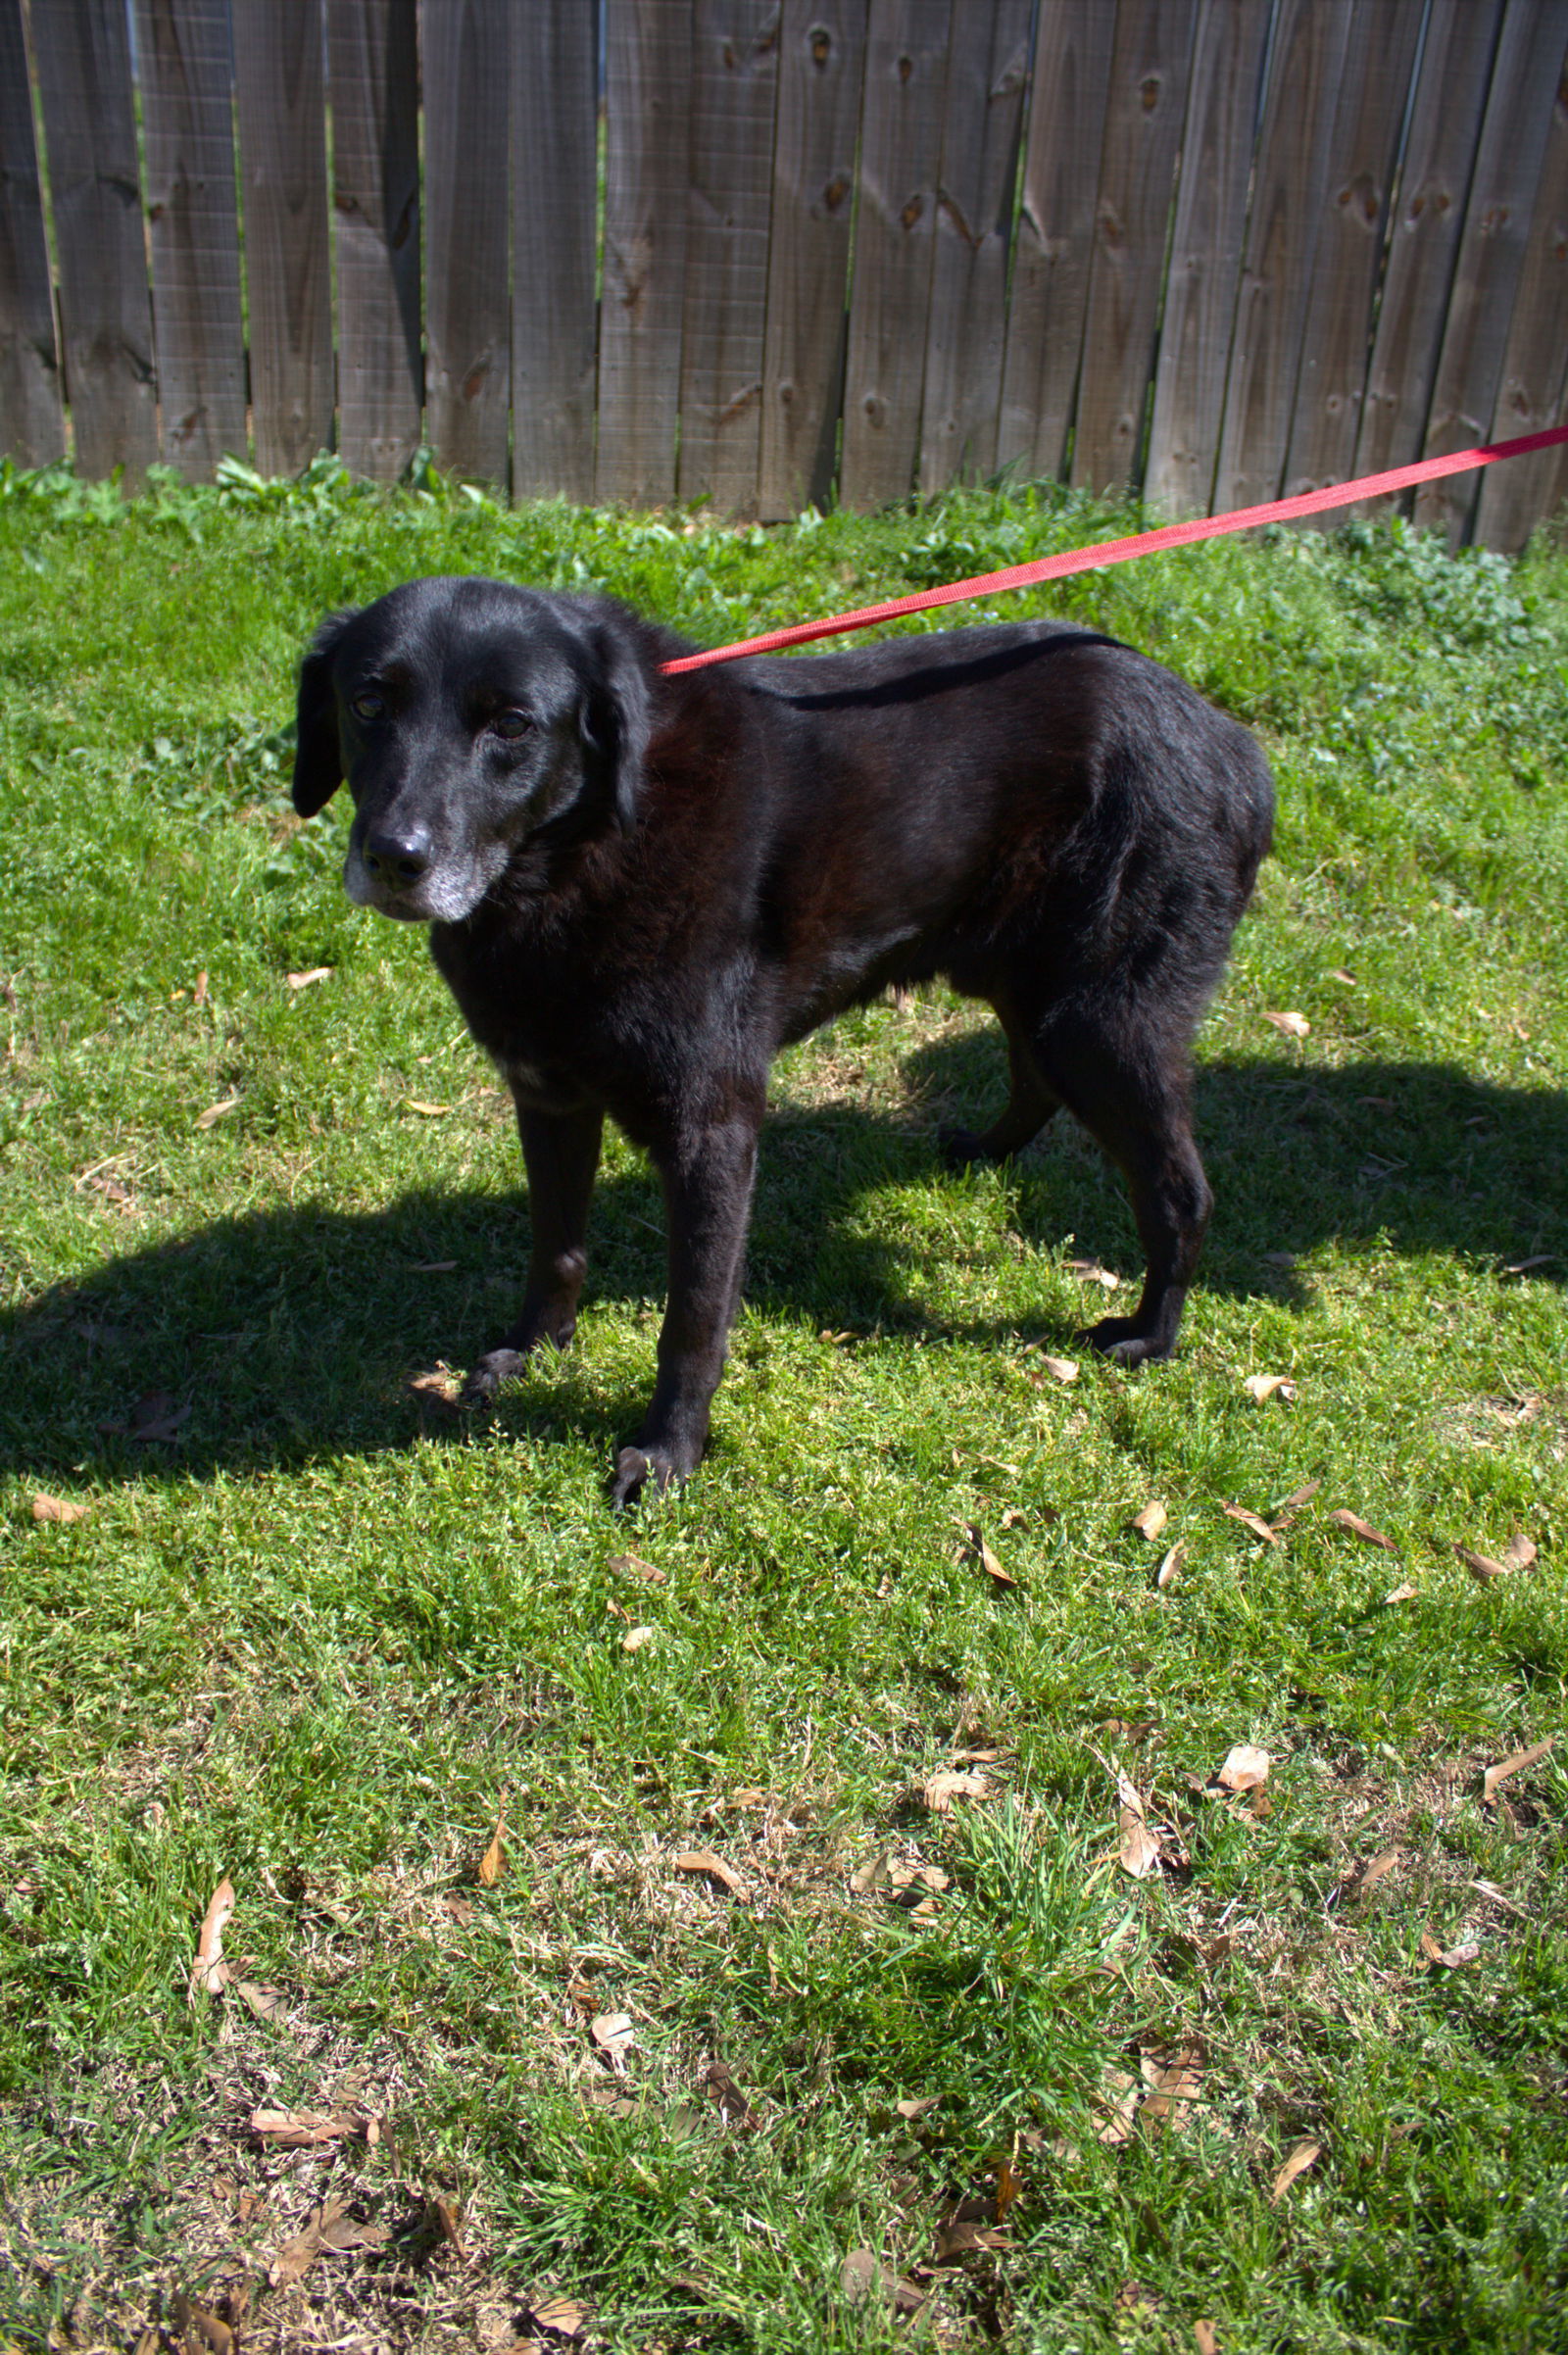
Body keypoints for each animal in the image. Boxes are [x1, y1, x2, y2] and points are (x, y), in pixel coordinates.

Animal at [296, 576, 1271, 1497]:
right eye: (369, 702)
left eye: (510, 724)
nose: (394, 857)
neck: (576, 856)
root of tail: (1234, 742)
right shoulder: (549, 1094)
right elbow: (556, 1245)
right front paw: (533, 1352)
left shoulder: (712, 1130)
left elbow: (692, 1318)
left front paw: (668, 1453)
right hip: (1024, 982)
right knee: (1033, 1074)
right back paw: (983, 1152)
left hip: (1101, 1023)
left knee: (1181, 1192)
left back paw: (1149, 1334)